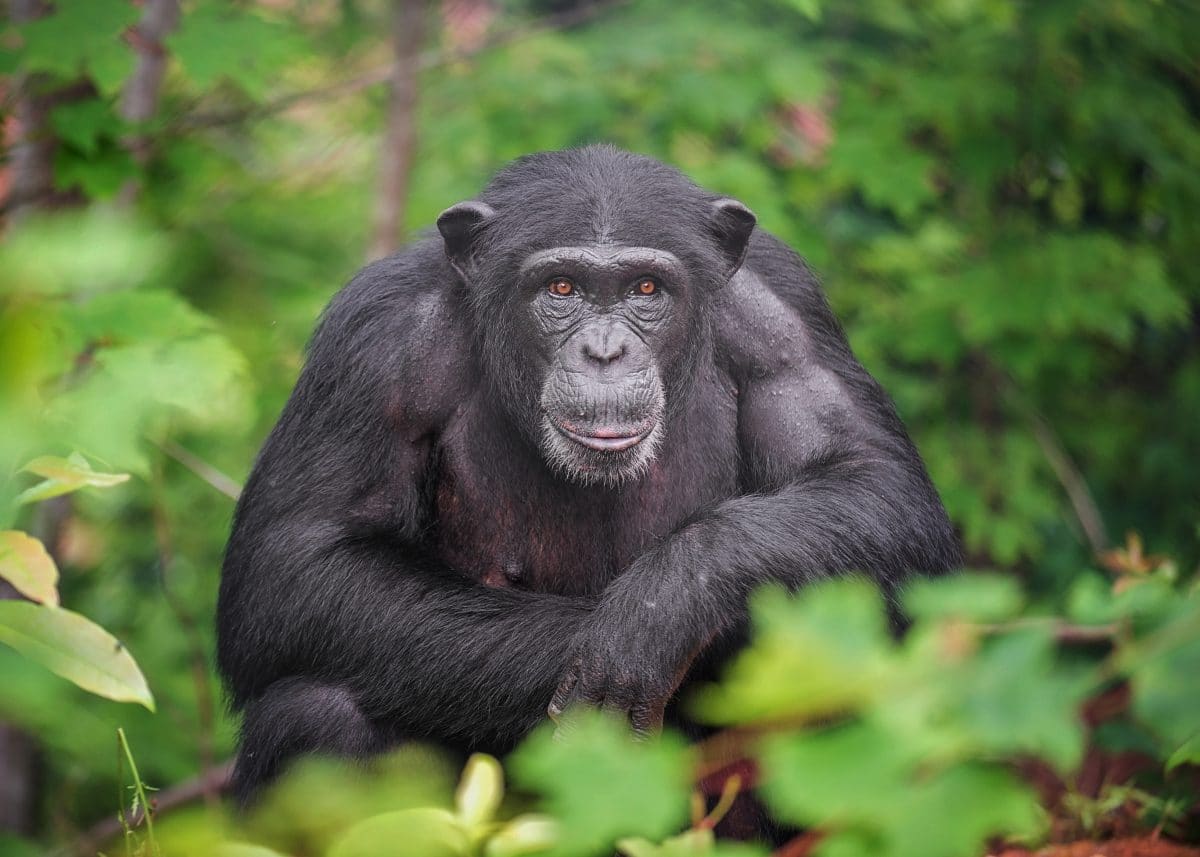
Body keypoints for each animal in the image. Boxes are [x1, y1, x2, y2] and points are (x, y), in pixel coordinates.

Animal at [216, 145, 960, 801]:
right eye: (562, 288)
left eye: (646, 288)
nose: (605, 351)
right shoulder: (374, 342)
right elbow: (300, 560)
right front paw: (618, 645)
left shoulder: (783, 316)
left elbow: (874, 483)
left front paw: (659, 610)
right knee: (314, 711)